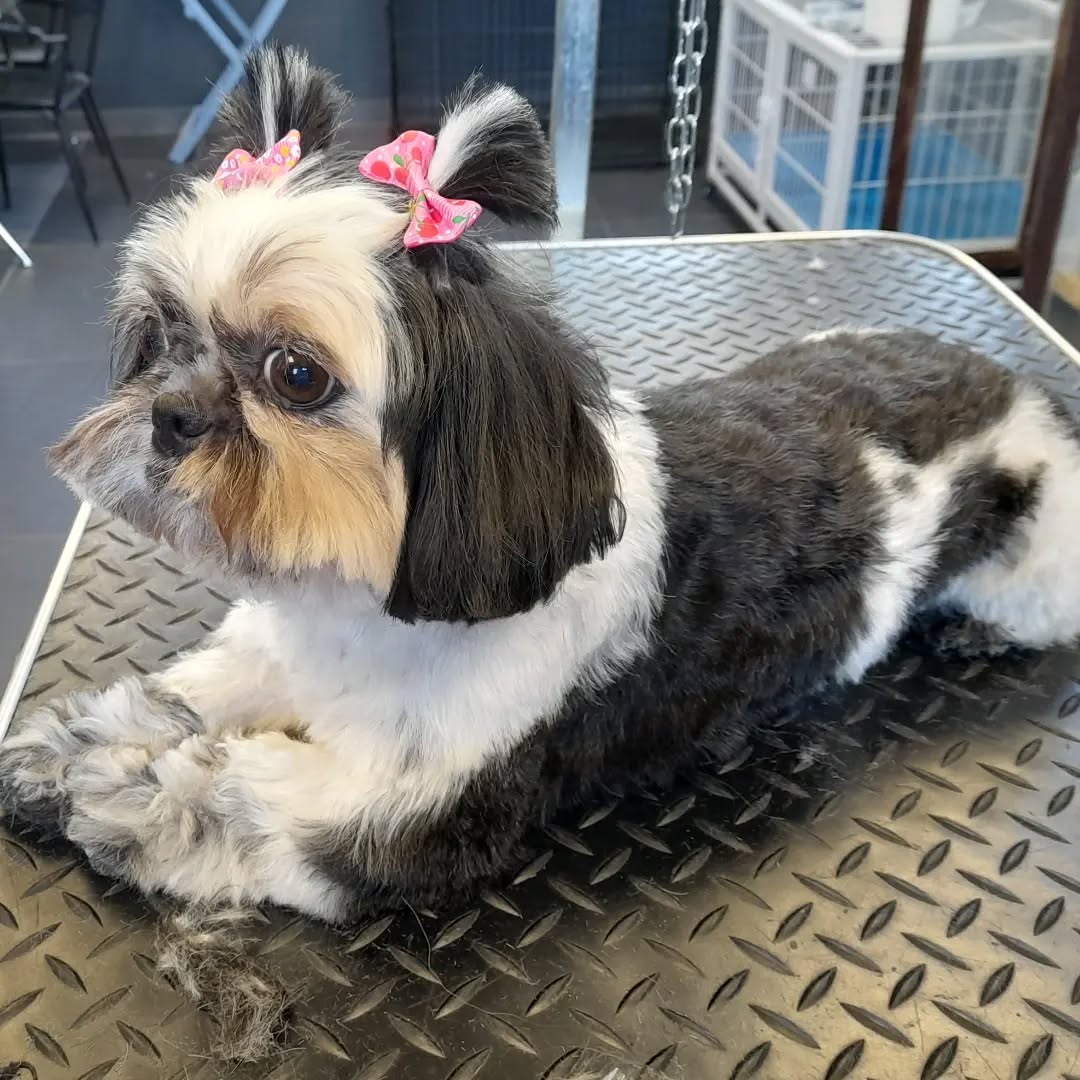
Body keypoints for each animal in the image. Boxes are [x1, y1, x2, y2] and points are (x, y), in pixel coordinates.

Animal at [4, 44, 1080, 929]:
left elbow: (239, 795)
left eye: (295, 374)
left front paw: (117, 792)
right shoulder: (270, 656)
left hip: (1036, 565)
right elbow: (180, 698)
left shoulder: (401, 812)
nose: (170, 414)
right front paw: (66, 746)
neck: (353, 609)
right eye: (163, 333)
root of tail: (1021, 385)